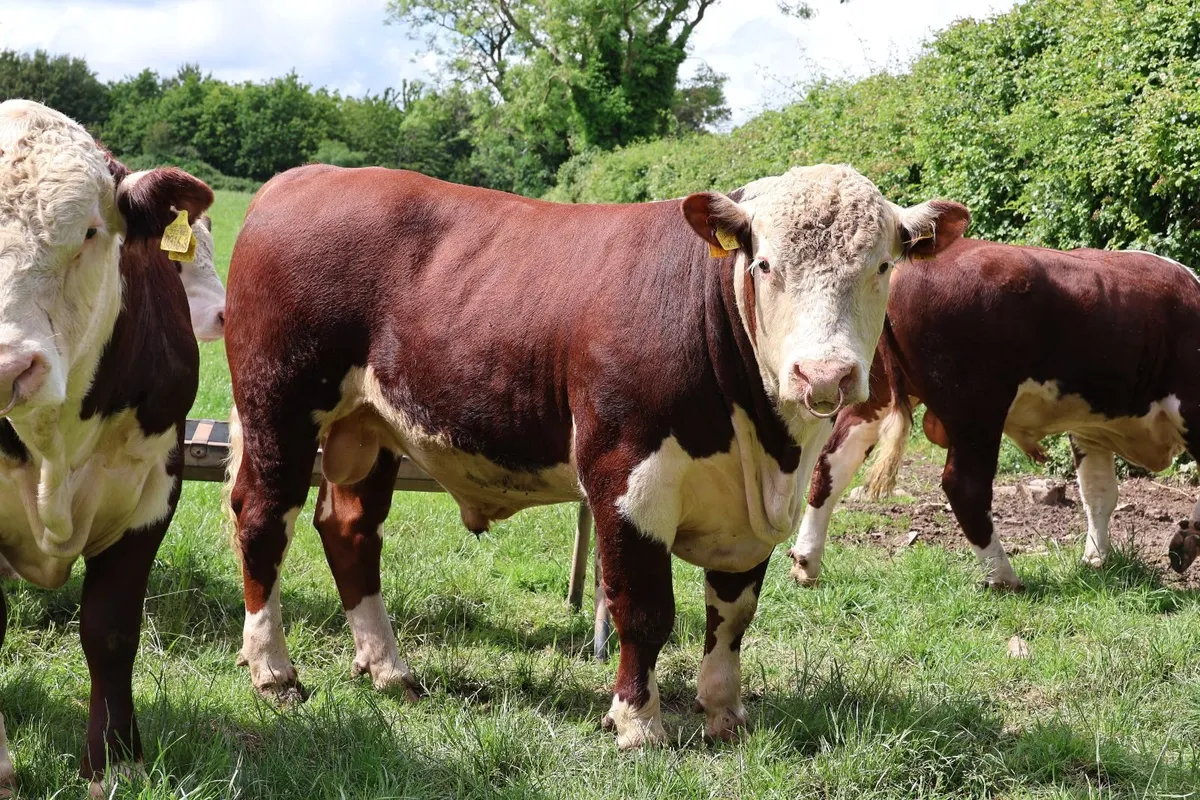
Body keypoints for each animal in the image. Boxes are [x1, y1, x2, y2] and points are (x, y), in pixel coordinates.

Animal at [223, 162, 968, 747]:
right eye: (765, 265)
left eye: (882, 267)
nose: (825, 375)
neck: (767, 446)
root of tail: (303, 178)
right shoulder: (626, 477)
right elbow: (644, 608)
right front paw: (637, 721)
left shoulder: (748, 512)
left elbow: (732, 613)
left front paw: (725, 714)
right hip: (278, 407)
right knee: (263, 521)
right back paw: (274, 673)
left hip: (370, 427)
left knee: (350, 530)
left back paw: (389, 670)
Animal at [786, 237, 1200, 590]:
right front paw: (1185, 538)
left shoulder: (1091, 427)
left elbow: (1099, 493)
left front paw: (1097, 559)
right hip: (977, 407)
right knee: (965, 485)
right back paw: (1003, 576)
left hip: (874, 392)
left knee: (833, 462)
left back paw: (807, 562)